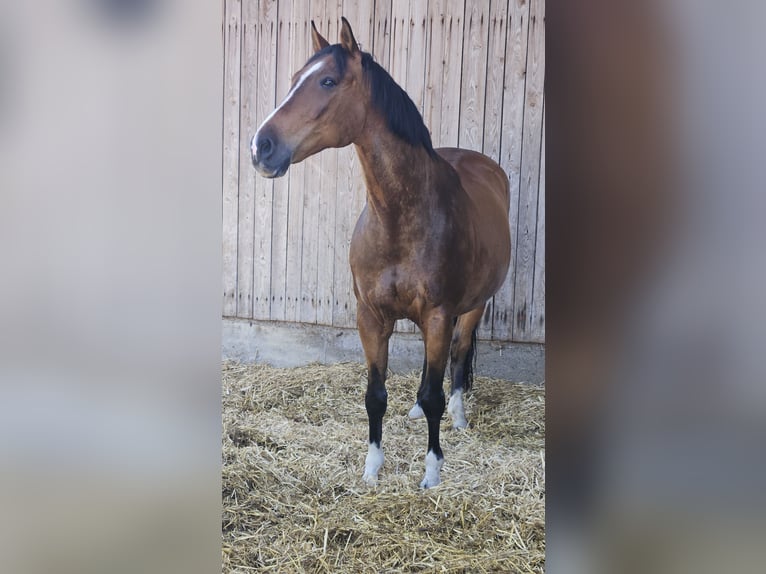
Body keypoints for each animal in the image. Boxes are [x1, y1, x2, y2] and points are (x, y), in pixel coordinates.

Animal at [252, 18, 512, 488]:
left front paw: (432, 472)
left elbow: (435, 392)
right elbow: (375, 395)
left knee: (458, 358)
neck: (399, 219)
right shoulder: (370, 317)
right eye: (294, 78)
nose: (260, 146)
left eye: (328, 80)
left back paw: (459, 417)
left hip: (473, 307)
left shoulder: (439, 315)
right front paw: (372, 467)